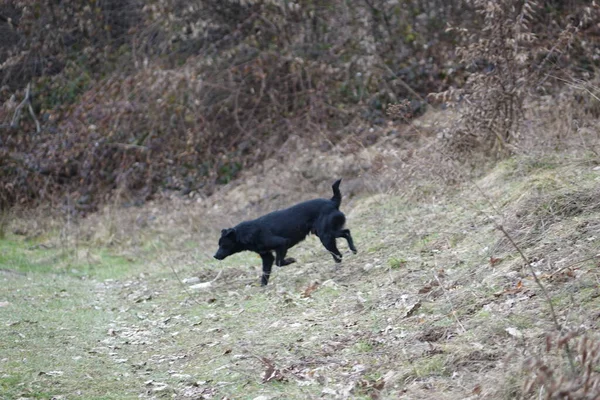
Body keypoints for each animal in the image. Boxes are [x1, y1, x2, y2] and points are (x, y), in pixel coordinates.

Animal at [214, 180, 356, 286]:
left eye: (223, 244)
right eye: (219, 244)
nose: (215, 256)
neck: (246, 233)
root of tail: (332, 202)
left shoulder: (282, 243)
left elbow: (279, 262)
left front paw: (291, 260)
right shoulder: (267, 256)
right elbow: (265, 274)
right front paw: (262, 288)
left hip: (325, 235)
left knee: (339, 251)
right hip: (326, 233)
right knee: (346, 233)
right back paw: (352, 251)